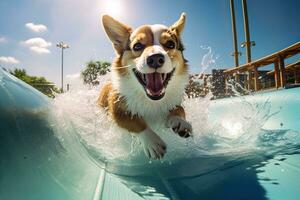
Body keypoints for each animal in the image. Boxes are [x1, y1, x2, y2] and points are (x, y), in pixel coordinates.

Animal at [98, 12, 192, 159]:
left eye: (170, 44)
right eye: (137, 46)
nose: (155, 59)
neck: (151, 100)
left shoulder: (174, 102)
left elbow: (180, 109)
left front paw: (180, 121)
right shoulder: (116, 111)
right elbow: (134, 121)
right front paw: (152, 141)